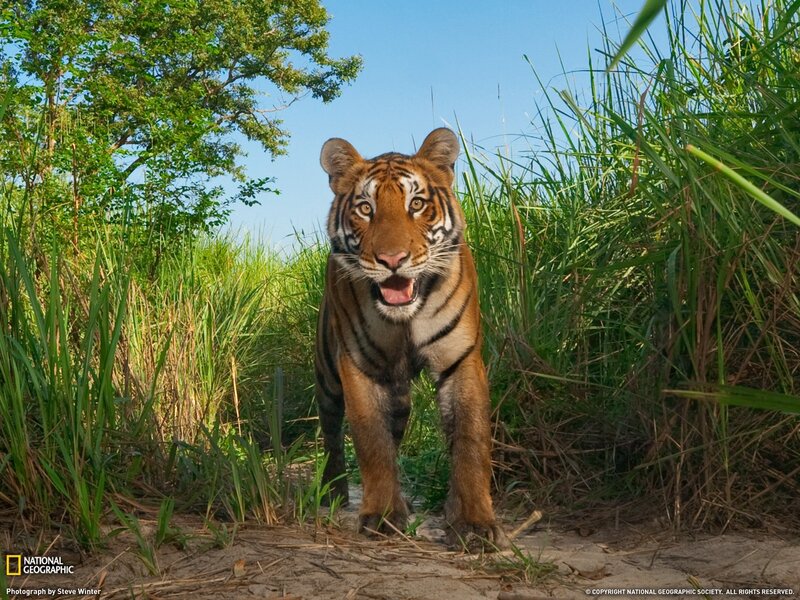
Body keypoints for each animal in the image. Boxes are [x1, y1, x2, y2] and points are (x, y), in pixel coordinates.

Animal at [315, 128, 508, 552]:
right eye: (365, 208)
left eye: (416, 204)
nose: (392, 260)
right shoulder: (358, 368)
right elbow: (372, 444)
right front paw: (383, 516)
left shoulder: (461, 361)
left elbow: (470, 442)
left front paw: (474, 522)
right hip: (328, 377)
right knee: (332, 432)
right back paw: (333, 491)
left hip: (399, 395)